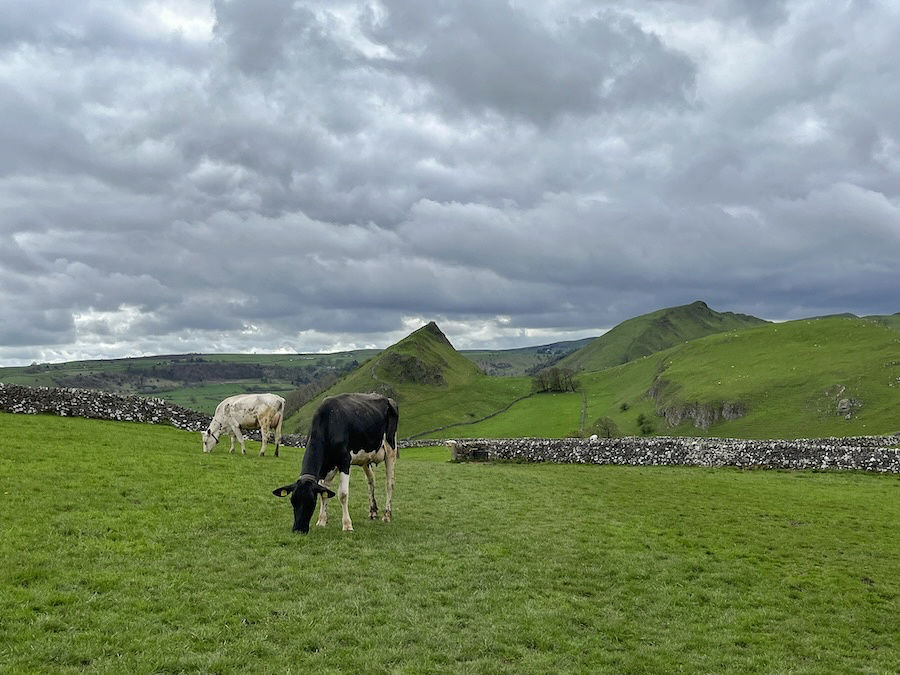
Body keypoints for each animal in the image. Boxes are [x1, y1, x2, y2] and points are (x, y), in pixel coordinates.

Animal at [272, 392, 399, 533]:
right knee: (371, 480)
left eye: (311, 502)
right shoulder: (325, 467)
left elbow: (342, 494)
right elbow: (324, 493)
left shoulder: (344, 461)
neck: (328, 423)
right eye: (293, 501)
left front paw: (347, 525)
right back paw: (373, 512)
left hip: (391, 448)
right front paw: (322, 521)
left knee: (390, 483)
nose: (298, 529)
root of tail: (387, 399)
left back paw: (387, 515)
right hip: (366, 457)